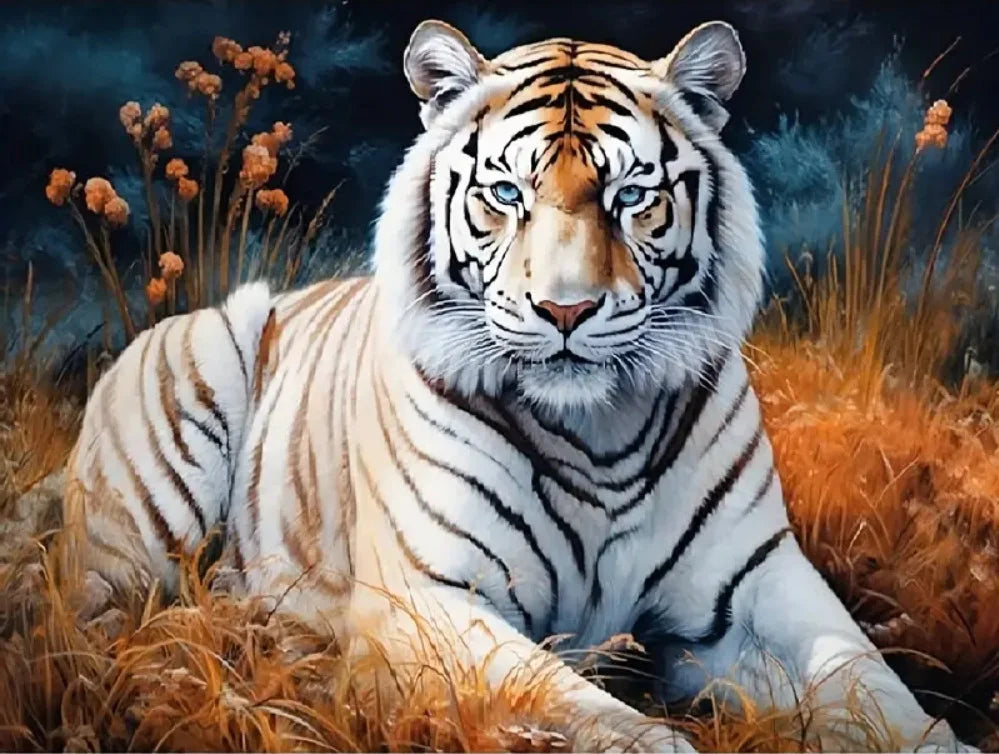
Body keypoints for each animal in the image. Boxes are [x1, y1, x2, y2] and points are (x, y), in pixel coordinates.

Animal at [61, 19, 975, 753]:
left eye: (630, 195)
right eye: (506, 193)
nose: (565, 308)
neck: (599, 433)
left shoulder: (757, 585)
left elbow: (877, 690)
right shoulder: (427, 598)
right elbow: (596, 715)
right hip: (162, 480)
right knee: (90, 627)